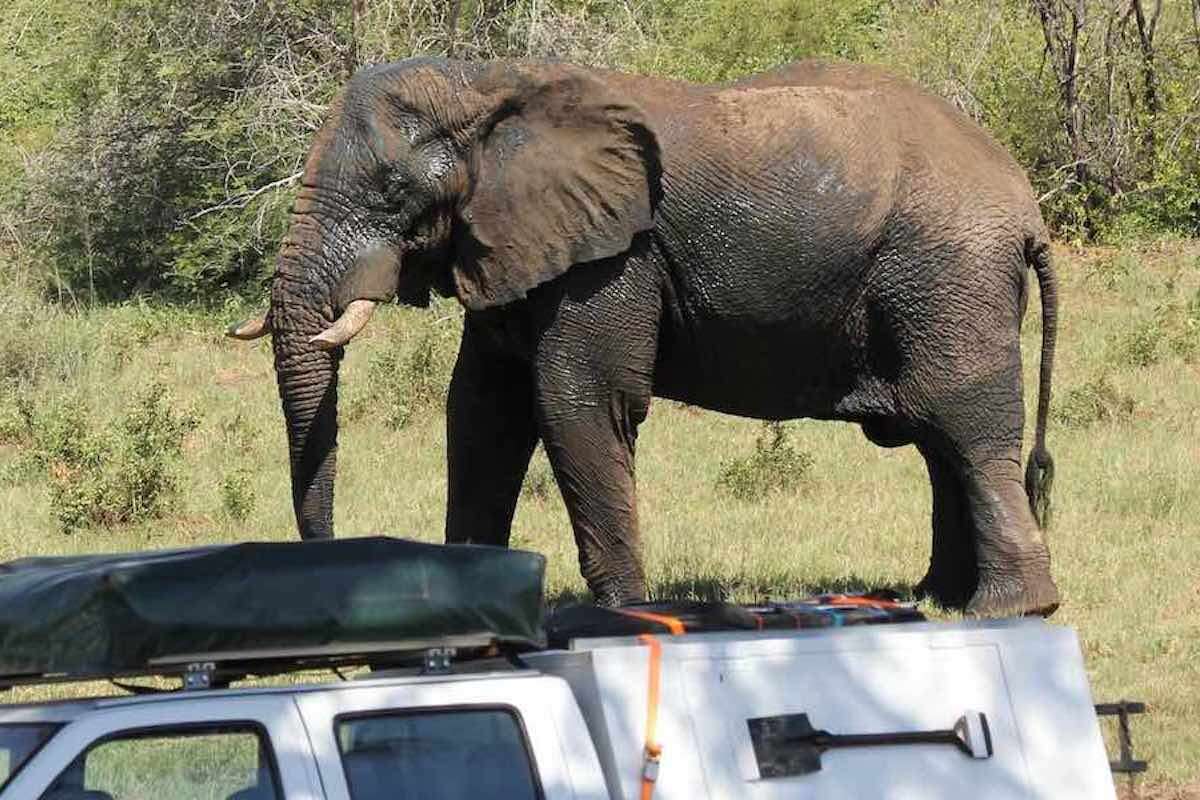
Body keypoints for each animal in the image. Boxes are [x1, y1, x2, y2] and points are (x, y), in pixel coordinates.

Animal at [228, 57, 1059, 617]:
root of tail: (1026, 206)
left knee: (964, 428)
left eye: (393, 193)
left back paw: (1009, 611)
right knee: (937, 440)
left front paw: (623, 616)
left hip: (946, 274)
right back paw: (934, 599)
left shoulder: (614, 258)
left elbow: (576, 403)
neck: (493, 87)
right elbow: (482, 413)